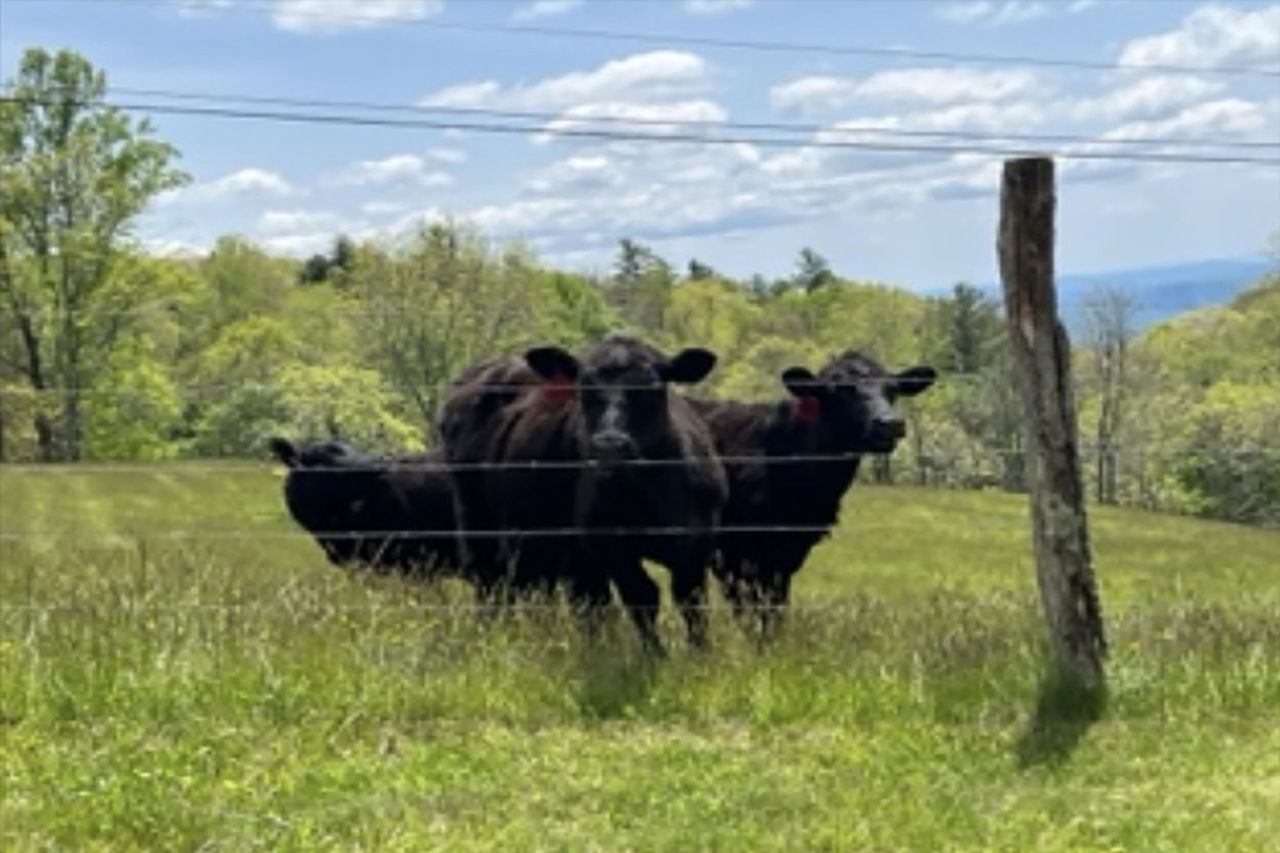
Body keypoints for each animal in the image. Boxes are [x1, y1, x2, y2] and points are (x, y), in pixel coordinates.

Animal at [440, 333, 727, 650]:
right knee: (495, 587)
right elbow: (642, 596)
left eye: (650, 387)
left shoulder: (697, 541)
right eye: (584, 388)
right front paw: (655, 654)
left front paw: (700, 651)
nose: (610, 444)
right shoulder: (609, 544)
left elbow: (691, 600)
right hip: (482, 531)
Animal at [686, 348, 936, 635]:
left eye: (892, 390)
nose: (890, 423)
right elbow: (749, 611)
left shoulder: (786, 553)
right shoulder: (733, 554)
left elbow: (775, 608)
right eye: (841, 390)